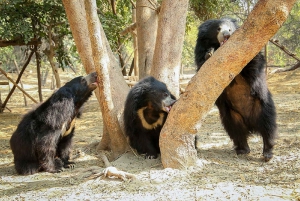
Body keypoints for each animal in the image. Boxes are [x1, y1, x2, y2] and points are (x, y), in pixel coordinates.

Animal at [195, 17, 276, 162]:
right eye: (218, 29)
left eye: (230, 29)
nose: (227, 35)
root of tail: (251, 122)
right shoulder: (200, 49)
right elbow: (201, 65)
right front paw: (209, 53)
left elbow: (253, 61)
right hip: (231, 115)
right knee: (236, 131)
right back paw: (243, 149)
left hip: (262, 105)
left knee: (268, 126)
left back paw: (268, 152)